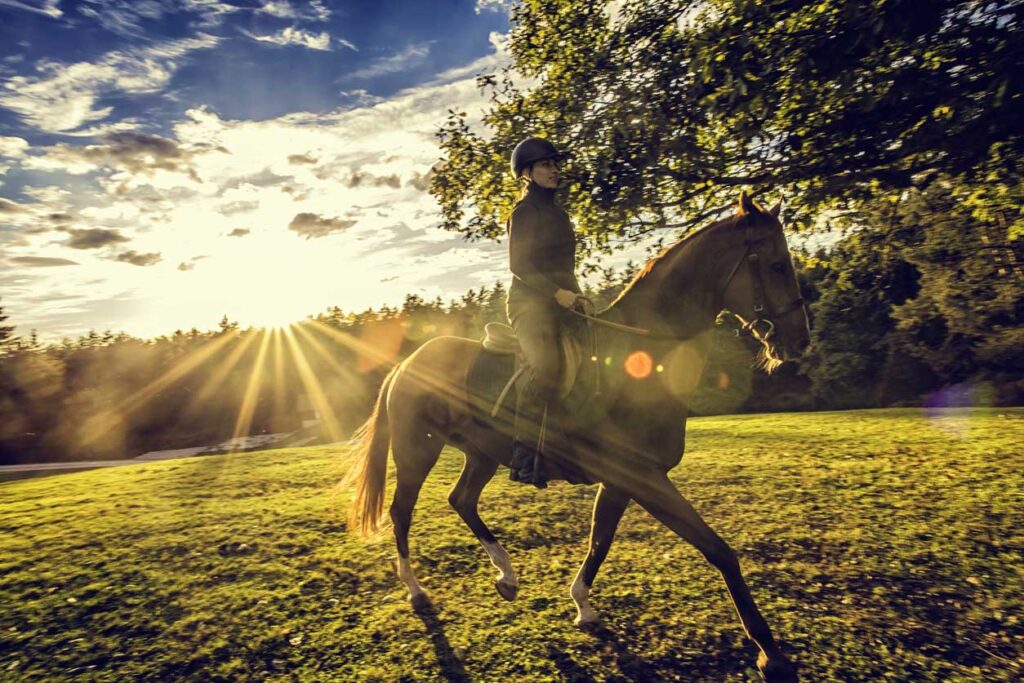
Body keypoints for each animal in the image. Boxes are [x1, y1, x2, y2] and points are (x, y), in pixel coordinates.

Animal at [348, 193, 811, 683]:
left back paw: (506, 577)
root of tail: (405, 364)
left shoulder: (624, 482)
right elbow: (719, 551)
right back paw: (417, 590)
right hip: (418, 452)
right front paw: (771, 654)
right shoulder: (645, 478)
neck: (642, 357)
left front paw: (582, 605)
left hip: (482, 454)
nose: (800, 342)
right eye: (777, 265)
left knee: (462, 500)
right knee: (401, 513)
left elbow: (599, 540)